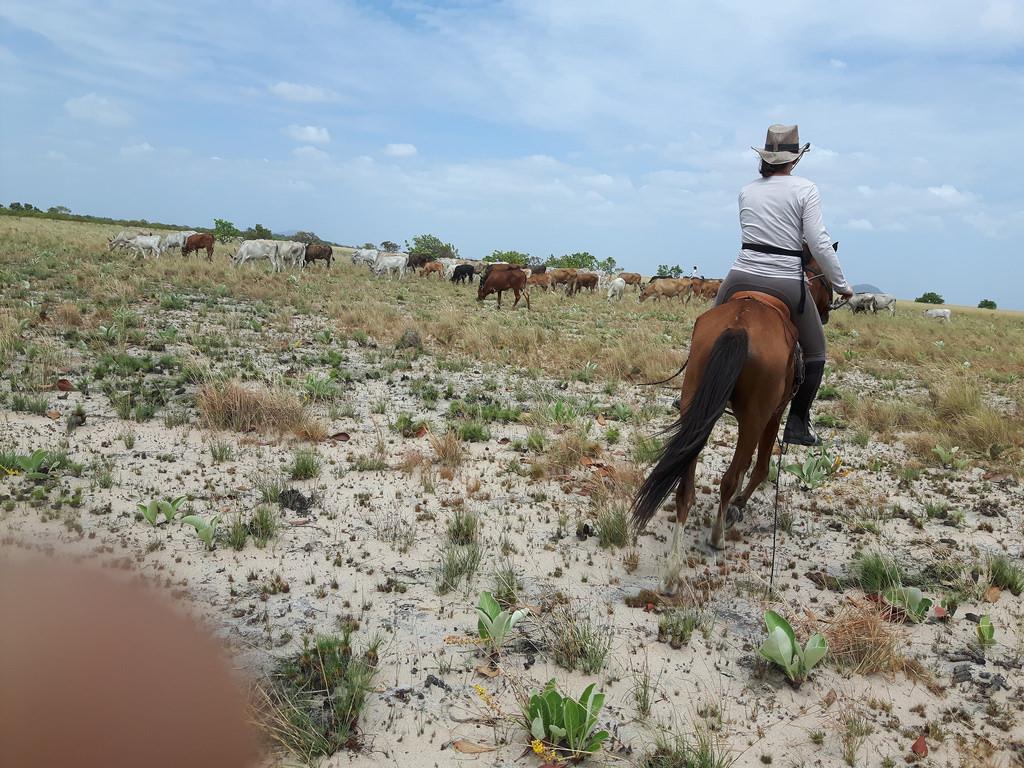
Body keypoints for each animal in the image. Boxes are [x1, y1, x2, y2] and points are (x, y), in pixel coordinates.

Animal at [626, 256, 835, 581]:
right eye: (825, 280)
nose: (826, 312)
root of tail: (740, 324)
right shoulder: (774, 414)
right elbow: (760, 468)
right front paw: (738, 505)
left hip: (696, 407)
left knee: (685, 485)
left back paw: (673, 568)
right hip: (755, 417)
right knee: (732, 476)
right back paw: (717, 536)